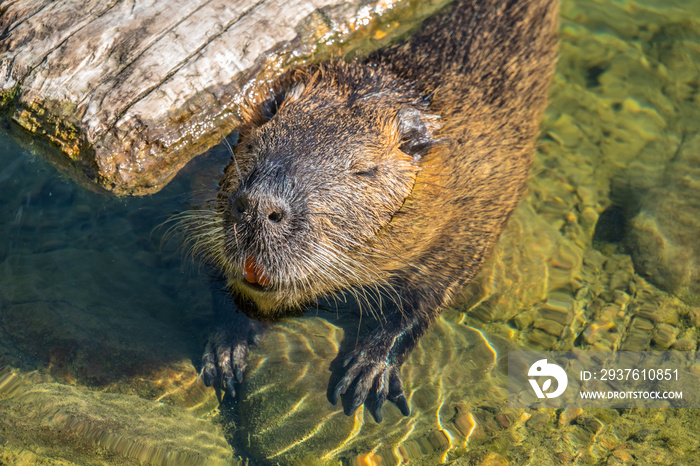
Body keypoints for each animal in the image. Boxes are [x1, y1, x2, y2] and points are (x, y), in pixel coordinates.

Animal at [185, 0, 556, 422]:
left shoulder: (473, 214)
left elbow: (428, 296)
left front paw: (365, 375)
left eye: (363, 169)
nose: (260, 207)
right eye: (261, 133)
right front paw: (226, 354)